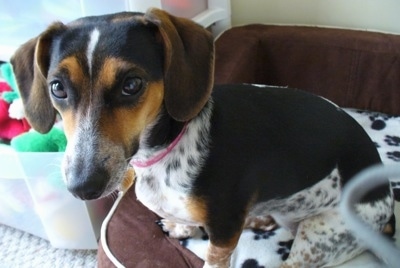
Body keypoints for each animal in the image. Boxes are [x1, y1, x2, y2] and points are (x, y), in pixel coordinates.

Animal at [10, 8, 396, 268]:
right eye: (57, 88)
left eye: (131, 84)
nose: (82, 187)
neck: (166, 150)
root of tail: (387, 207)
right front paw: (182, 227)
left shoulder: (224, 234)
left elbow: (216, 252)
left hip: (321, 236)